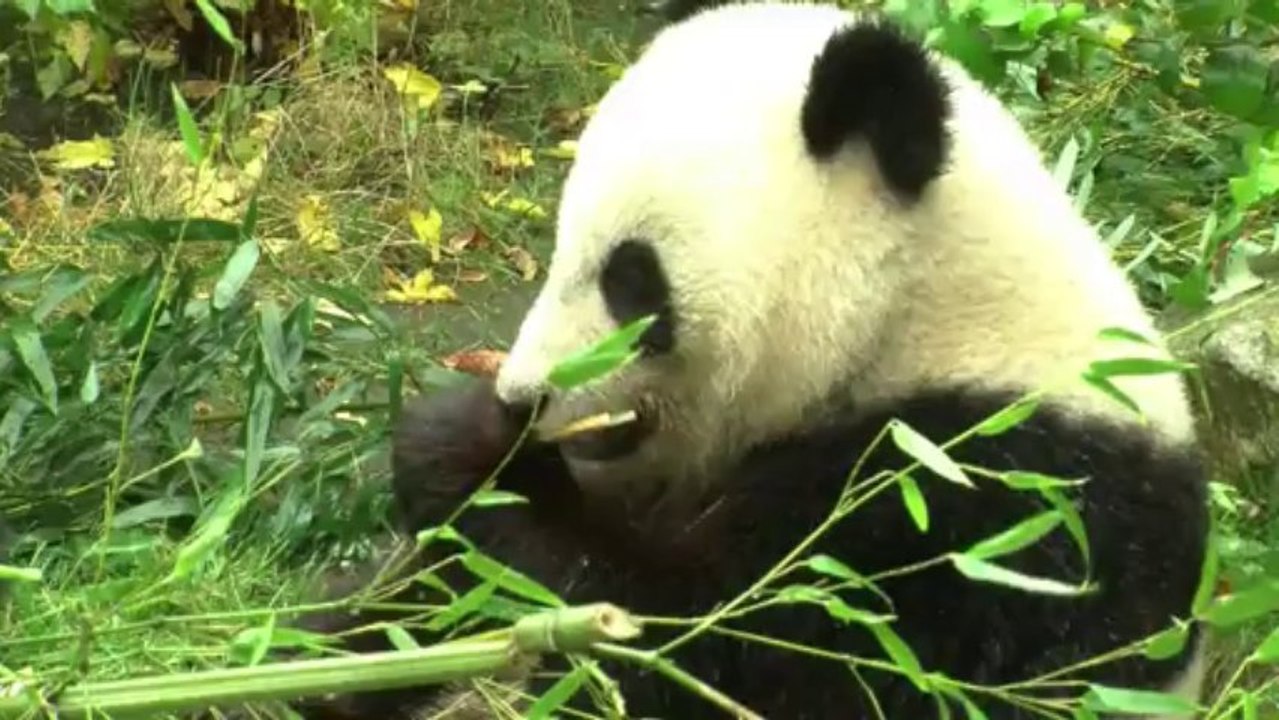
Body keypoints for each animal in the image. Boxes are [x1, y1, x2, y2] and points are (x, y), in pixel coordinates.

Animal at [293, 2, 1211, 718]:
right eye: (556, 247)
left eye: (631, 282)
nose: (525, 398)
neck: (920, 317)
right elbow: (415, 603)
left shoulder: (997, 510)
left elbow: (730, 650)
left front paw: (465, 450)